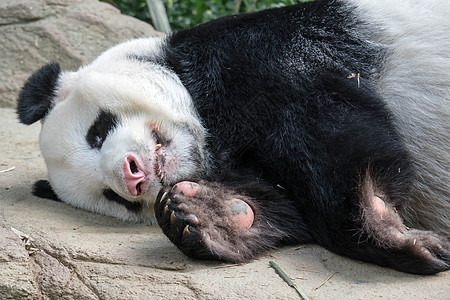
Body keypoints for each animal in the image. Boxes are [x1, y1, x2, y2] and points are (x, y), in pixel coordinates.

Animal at [15, 0, 448, 274]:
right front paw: (210, 215)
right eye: (113, 198)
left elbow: (332, 125)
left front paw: (388, 233)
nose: (131, 175)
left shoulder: (260, 53)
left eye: (98, 130)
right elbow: (285, 208)